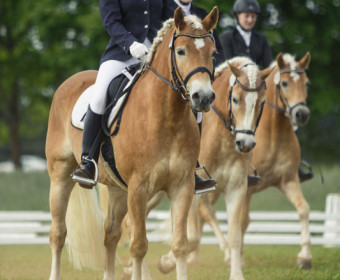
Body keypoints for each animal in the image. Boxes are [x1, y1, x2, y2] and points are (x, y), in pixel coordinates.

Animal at [45, 7, 218, 280]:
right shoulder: (139, 188)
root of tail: (69, 82)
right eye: (181, 51)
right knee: (58, 233)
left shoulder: (183, 186)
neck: (166, 116)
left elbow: (180, 245)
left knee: (111, 235)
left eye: (213, 53)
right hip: (60, 175)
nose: (204, 97)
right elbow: (138, 245)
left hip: (118, 188)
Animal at [131, 56, 272, 280]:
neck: (223, 138)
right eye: (235, 100)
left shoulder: (236, 187)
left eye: (262, 103)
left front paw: (236, 274)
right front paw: (166, 263)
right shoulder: (194, 191)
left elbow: (234, 235)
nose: (245, 144)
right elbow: (193, 236)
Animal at [190, 52, 312, 270]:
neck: (275, 134)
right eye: (285, 83)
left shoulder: (289, 180)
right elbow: (243, 220)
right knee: (204, 211)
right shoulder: (247, 188)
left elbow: (303, 209)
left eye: (306, 83)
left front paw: (305, 257)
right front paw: (238, 257)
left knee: (204, 212)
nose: (302, 114)